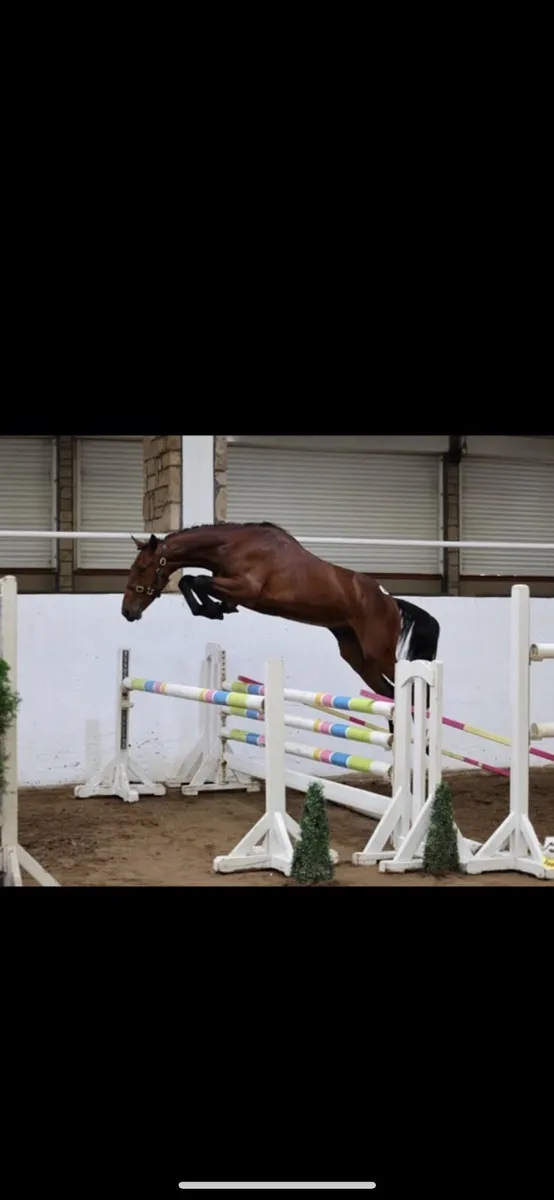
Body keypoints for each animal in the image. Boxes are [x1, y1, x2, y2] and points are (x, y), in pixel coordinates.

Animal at [121, 521, 440, 734]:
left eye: (141, 568)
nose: (127, 612)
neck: (231, 546)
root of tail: (391, 601)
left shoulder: (246, 588)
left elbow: (196, 580)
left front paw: (210, 609)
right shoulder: (232, 589)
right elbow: (194, 581)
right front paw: (212, 610)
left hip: (378, 652)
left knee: (410, 691)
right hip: (357, 657)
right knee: (389, 694)